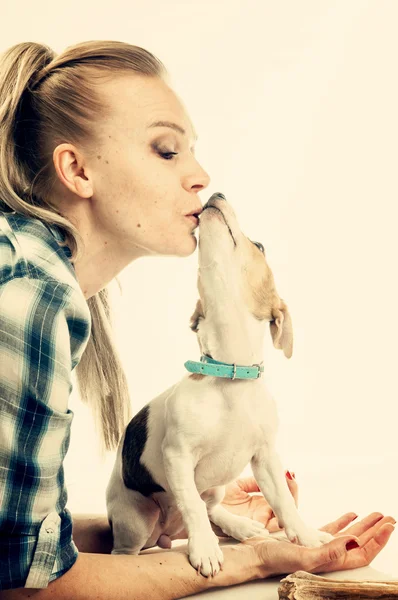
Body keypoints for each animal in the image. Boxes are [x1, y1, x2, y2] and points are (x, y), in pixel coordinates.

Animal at [105, 192, 332, 576]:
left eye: (259, 245)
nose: (216, 194)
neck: (230, 373)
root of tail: (166, 530)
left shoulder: (265, 457)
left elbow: (284, 502)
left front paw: (305, 535)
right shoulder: (177, 455)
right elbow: (192, 506)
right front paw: (205, 550)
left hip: (217, 489)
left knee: (211, 506)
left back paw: (239, 525)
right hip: (134, 518)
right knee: (134, 543)